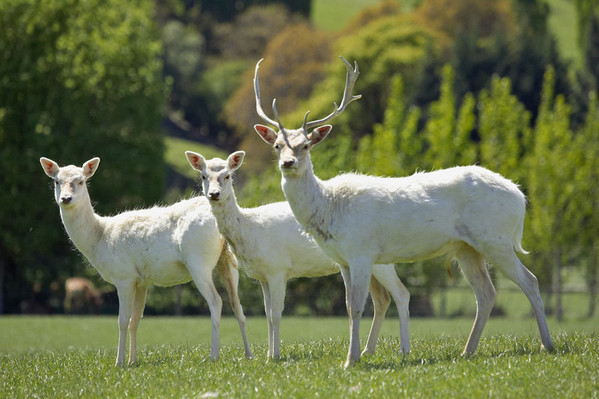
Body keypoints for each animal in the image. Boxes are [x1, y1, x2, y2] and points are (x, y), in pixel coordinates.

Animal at [39, 156, 251, 366]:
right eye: (56, 181)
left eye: (81, 181)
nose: (66, 198)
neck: (100, 239)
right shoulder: (141, 281)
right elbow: (136, 320)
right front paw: (133, 361)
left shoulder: (124, 276)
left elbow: (123, 320)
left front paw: (119, 362)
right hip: (228, 261)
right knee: (237, 304)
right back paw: (248, 355)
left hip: (199, 261)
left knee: (216, 301)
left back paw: (214, 356)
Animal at [185, 152, 412, 360]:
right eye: (204, 176)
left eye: (227, 175)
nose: (214, 194)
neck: (251, 230)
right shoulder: (263, 276)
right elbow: (267, 314)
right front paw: (268, 354)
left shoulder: (278, 268)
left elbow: (276, 314)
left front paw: (275, 356)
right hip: (366, 261)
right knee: (382, 300)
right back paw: (367, 350)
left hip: (376, 258)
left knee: (401, 293)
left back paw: (403, 351)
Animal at [252, 56, 552, 368]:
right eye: (277, 146)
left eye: (306, 145)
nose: (288, 163)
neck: (329, 208)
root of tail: (520, 197)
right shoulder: (343, 260)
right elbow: (348, 306)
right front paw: (353, 356)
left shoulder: (362, 252)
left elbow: (356, 307)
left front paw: (351, 360)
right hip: (467, 248)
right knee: (486, 294)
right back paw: (467, 351)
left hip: (496, 238)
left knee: (530, 282)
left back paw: (547, 345)